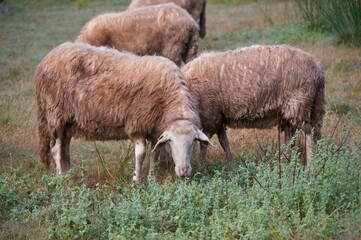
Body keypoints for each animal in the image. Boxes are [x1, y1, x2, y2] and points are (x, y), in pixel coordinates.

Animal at [33, 41, 211, 182]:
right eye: (172, 142)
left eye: (193, 141)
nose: (183, 171)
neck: (168, 100)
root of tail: (46, 60)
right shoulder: (137, 124)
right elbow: (141, 154)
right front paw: (136, 180)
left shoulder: (155, 129)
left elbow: (154, 154)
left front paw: (152, 178)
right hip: (56, 114)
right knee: (56, 149)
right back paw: (60, 177)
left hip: (68, 121)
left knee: (65, 147)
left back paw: (68, 173)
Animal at [181, 44, 324, 167]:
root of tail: (318, 69)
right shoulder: (218, 117)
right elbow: (224, 142)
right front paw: (231, 165)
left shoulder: (211, 117)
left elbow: (204, 144)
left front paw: (202, 166)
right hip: (305, 107)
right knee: (295, 136)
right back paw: (285, 163)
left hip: (299, 103)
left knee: (308, 133)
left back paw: (310, 165)